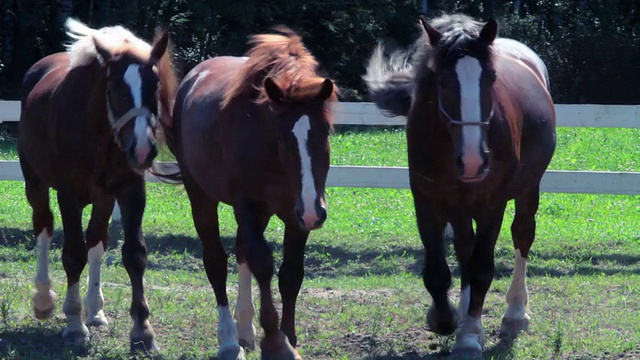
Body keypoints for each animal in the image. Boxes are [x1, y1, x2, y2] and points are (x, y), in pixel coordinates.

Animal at [18, 19, 178, 352]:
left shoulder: (130, 192)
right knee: (43, 227)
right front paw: (74, 325)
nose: (142, 150)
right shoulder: (69, 196)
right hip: (35, 183)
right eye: (115, 87)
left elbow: (134, 254)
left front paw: (142, 330)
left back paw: (95, 310)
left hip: (104, 197)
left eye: (155, 86)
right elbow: (72, 255)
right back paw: (44, 299)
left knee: (97, 240)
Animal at [158, 26, 338, 358]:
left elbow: (291, 274)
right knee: (217, 260)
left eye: (325, 133)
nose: (314, 212)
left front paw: (289, 339)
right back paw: (229, 339)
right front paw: (274, 340)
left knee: (242, 252)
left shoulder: (296, 213)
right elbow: (263, 264)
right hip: (202, 196)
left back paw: (244, 329)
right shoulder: (249, 205)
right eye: (282, 139)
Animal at [364, 14, 556, 358]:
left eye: (491, 78)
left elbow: (481, 269)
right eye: (442, 81)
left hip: (527, 189)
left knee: (522, 235)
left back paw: (515, 313)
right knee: (465, 246)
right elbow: (439, 271)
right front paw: (446, 318)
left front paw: (468, 335)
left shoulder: (492, 203)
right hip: (460, 206)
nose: (473, 161)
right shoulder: (427, 201)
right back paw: (469, 310)